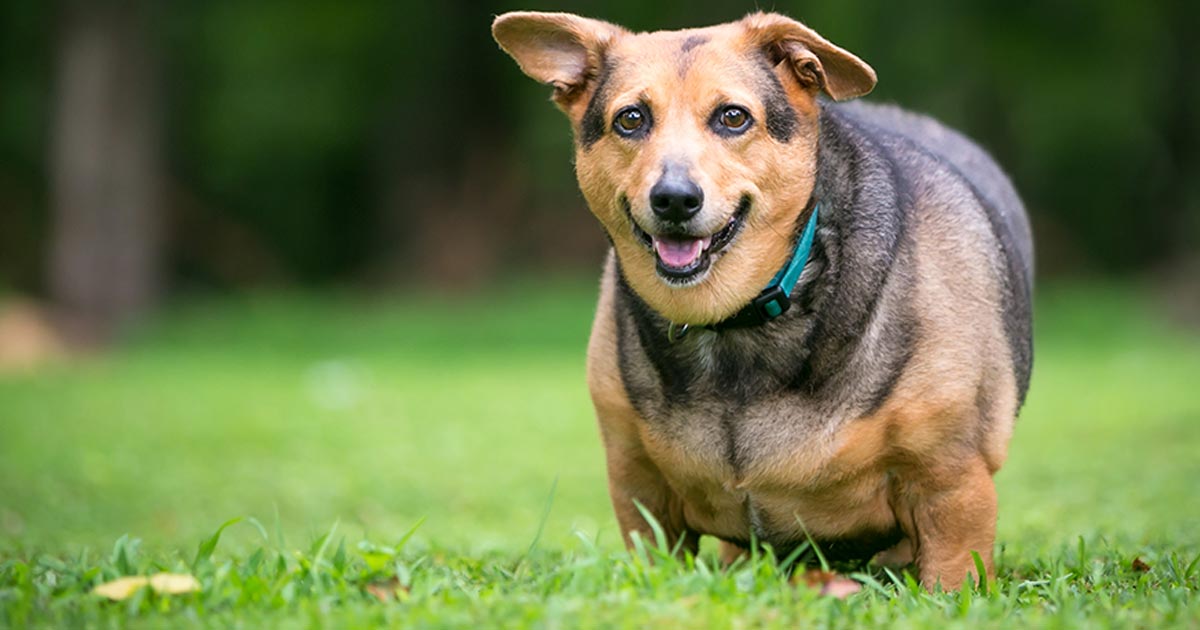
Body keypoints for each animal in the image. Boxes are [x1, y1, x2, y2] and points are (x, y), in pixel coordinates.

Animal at [492, 11, 1036, 590]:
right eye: (631, 119)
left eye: (733, 117)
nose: (675, 199)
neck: (732, 321)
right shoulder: (639, 487)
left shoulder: (950, 486)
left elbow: (951, 581)